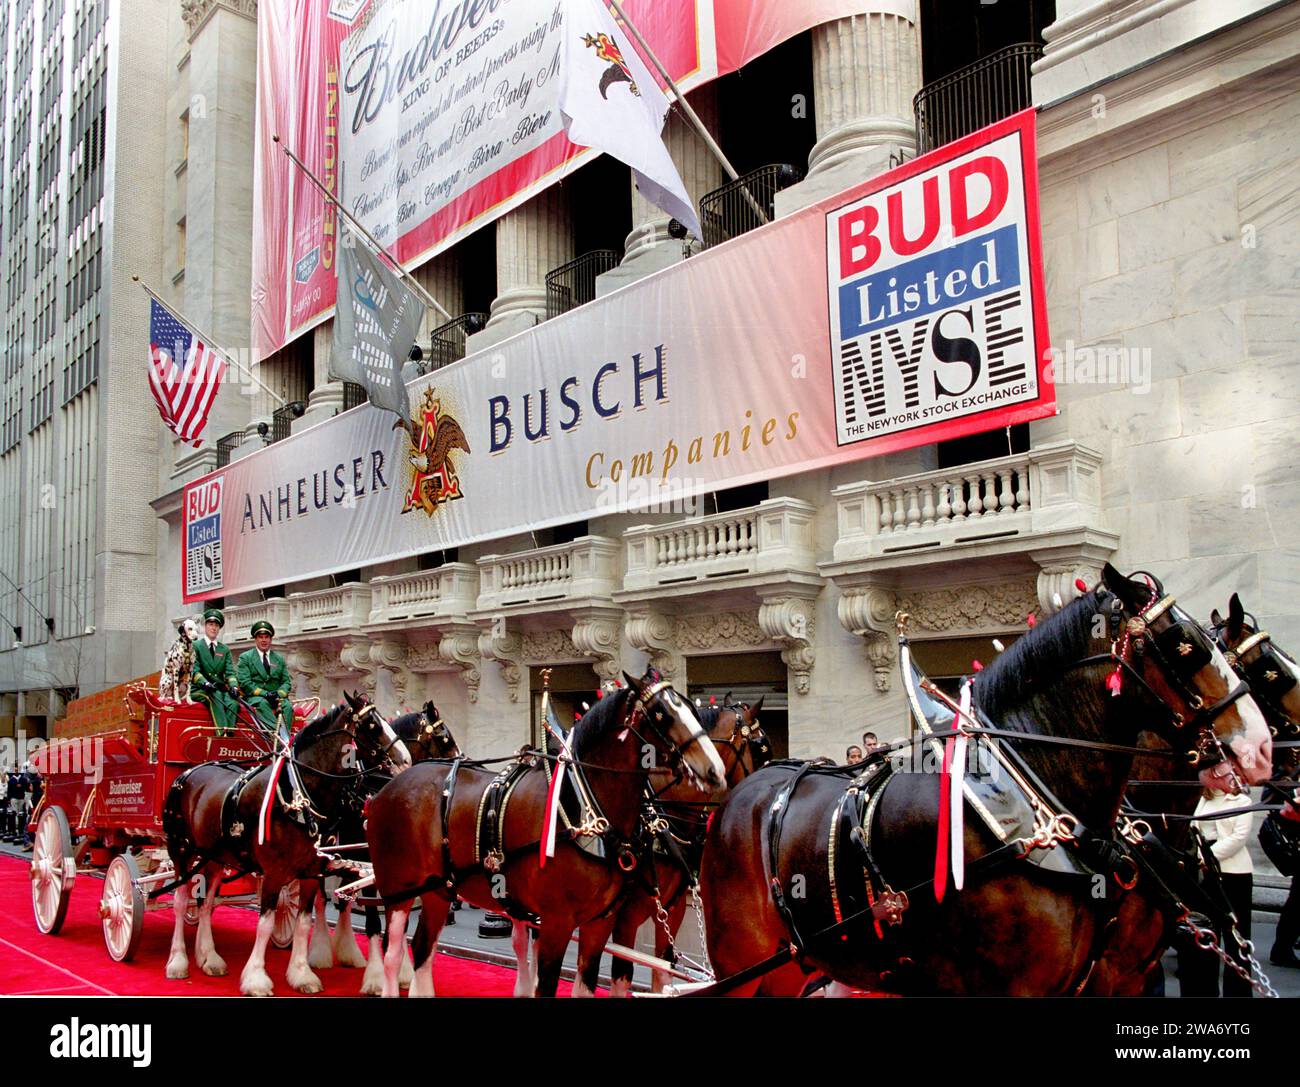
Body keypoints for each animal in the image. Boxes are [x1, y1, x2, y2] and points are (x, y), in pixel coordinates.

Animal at [161, 696, 408, 993]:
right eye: (372, 724)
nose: (405, 760)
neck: (300, 798)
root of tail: (190, 771)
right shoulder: (274, 872)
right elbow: (265, 924)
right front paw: (256, 978)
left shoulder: (313, 873)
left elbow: (302, 923)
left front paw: (302, 973)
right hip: (181, 851)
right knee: (179, 901)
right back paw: (178, 960)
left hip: (215, 858)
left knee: (206, 903)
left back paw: (209, 956)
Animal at [371, 665, 728, 998]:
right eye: (661, 714)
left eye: (690, 708)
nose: (715, 770)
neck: (584, 808)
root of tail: (393, 784)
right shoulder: (558, 922)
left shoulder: (601, 922)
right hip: (398, 889)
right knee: (392, 952)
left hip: (438, 889)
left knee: (423, 949)